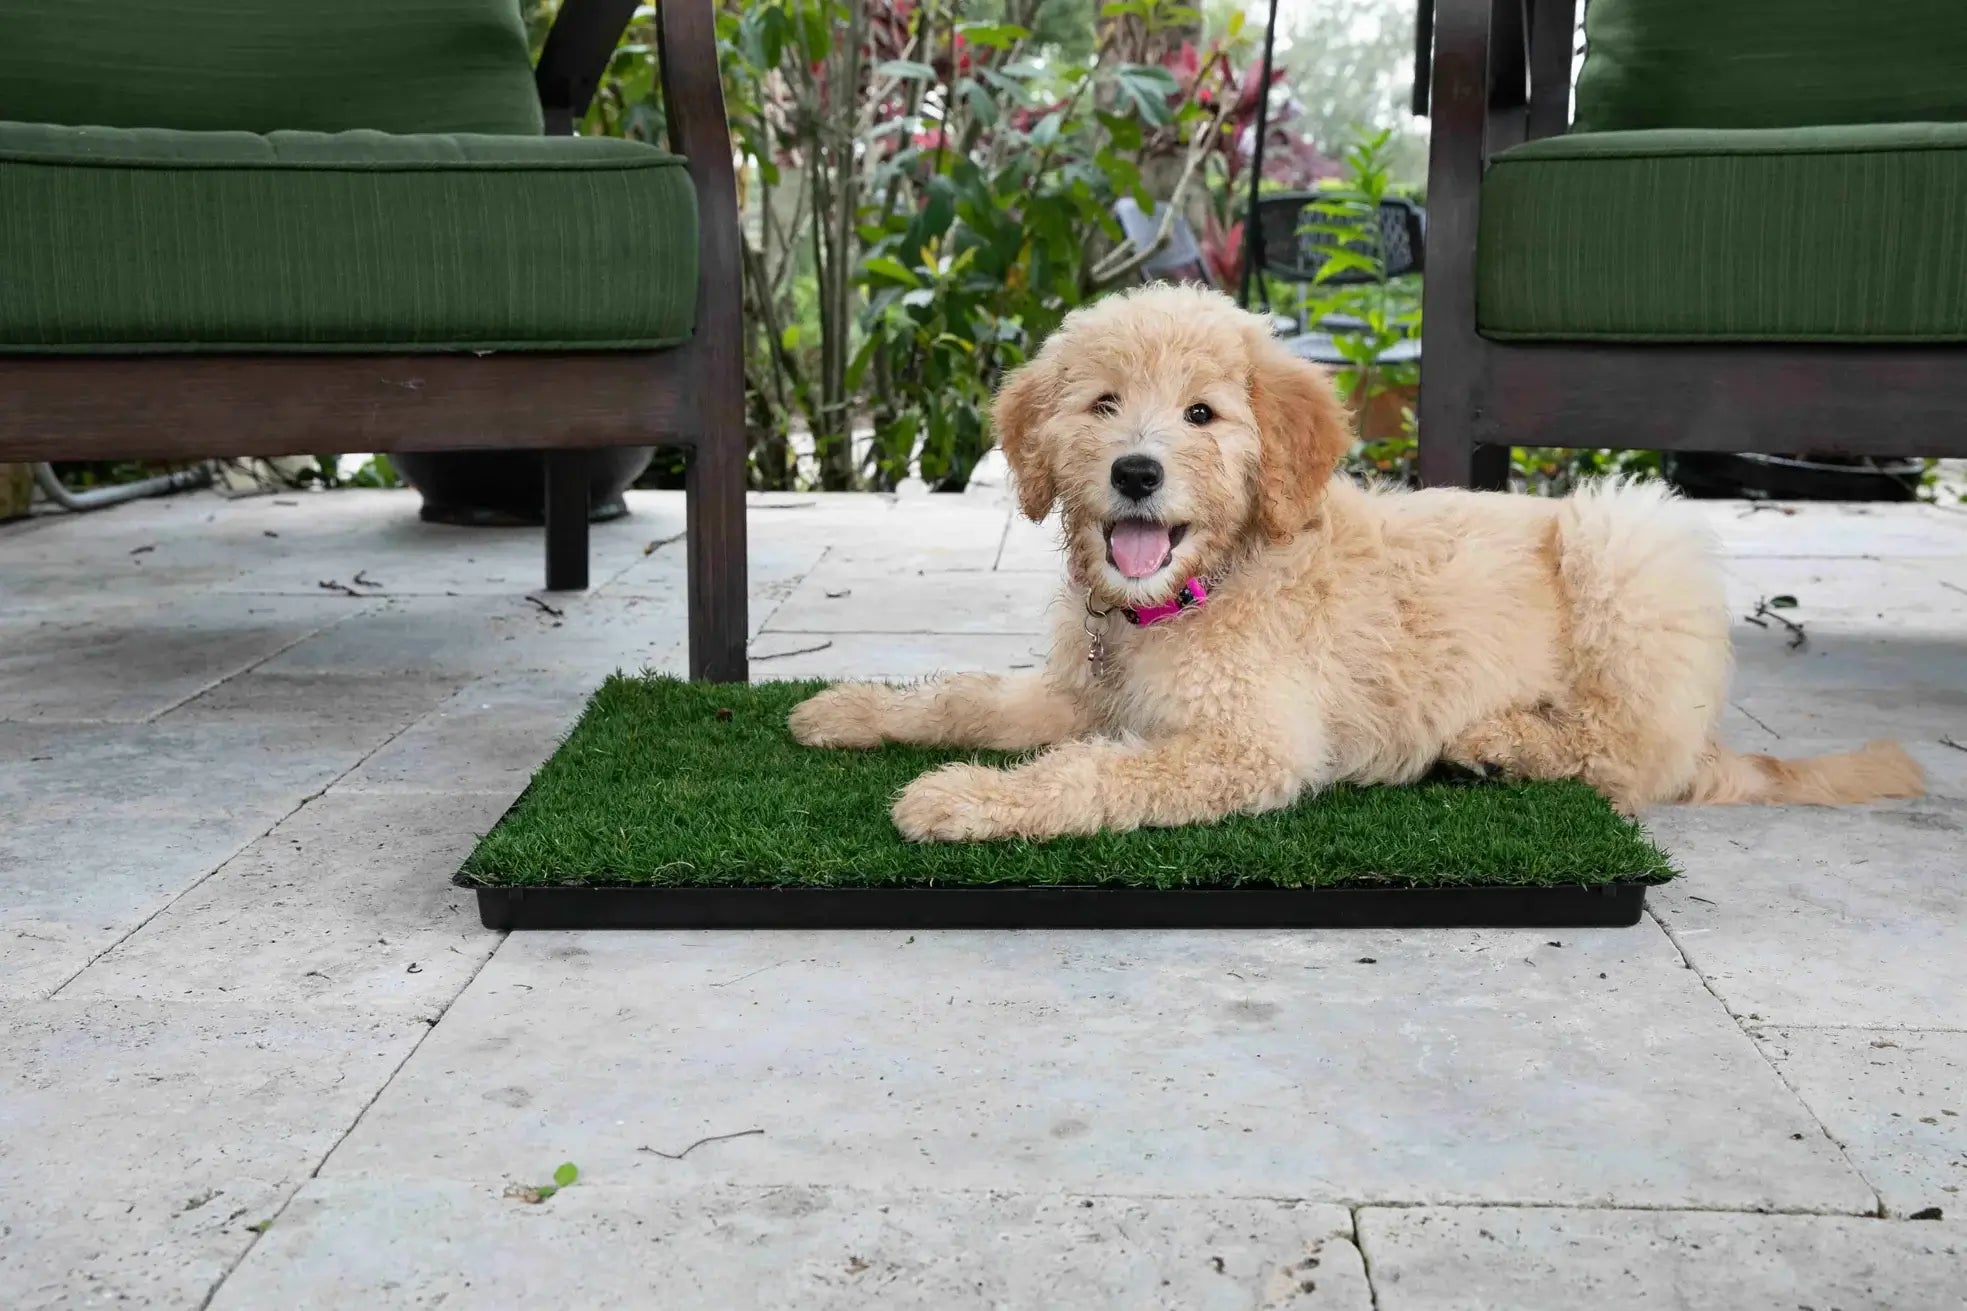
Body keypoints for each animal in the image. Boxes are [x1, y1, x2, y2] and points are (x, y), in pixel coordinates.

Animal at [786, 285, 1919, 838]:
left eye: (1202, 414)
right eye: (1102, 403)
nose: (1136, 472)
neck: (1191, 592)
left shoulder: (1246, 746)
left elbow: (1089, 774)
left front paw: (962, 800)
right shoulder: (1085, 693)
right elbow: (970, 695)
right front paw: (850, 711)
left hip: (1628, 534)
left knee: (1631, 756)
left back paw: (1504, 739)